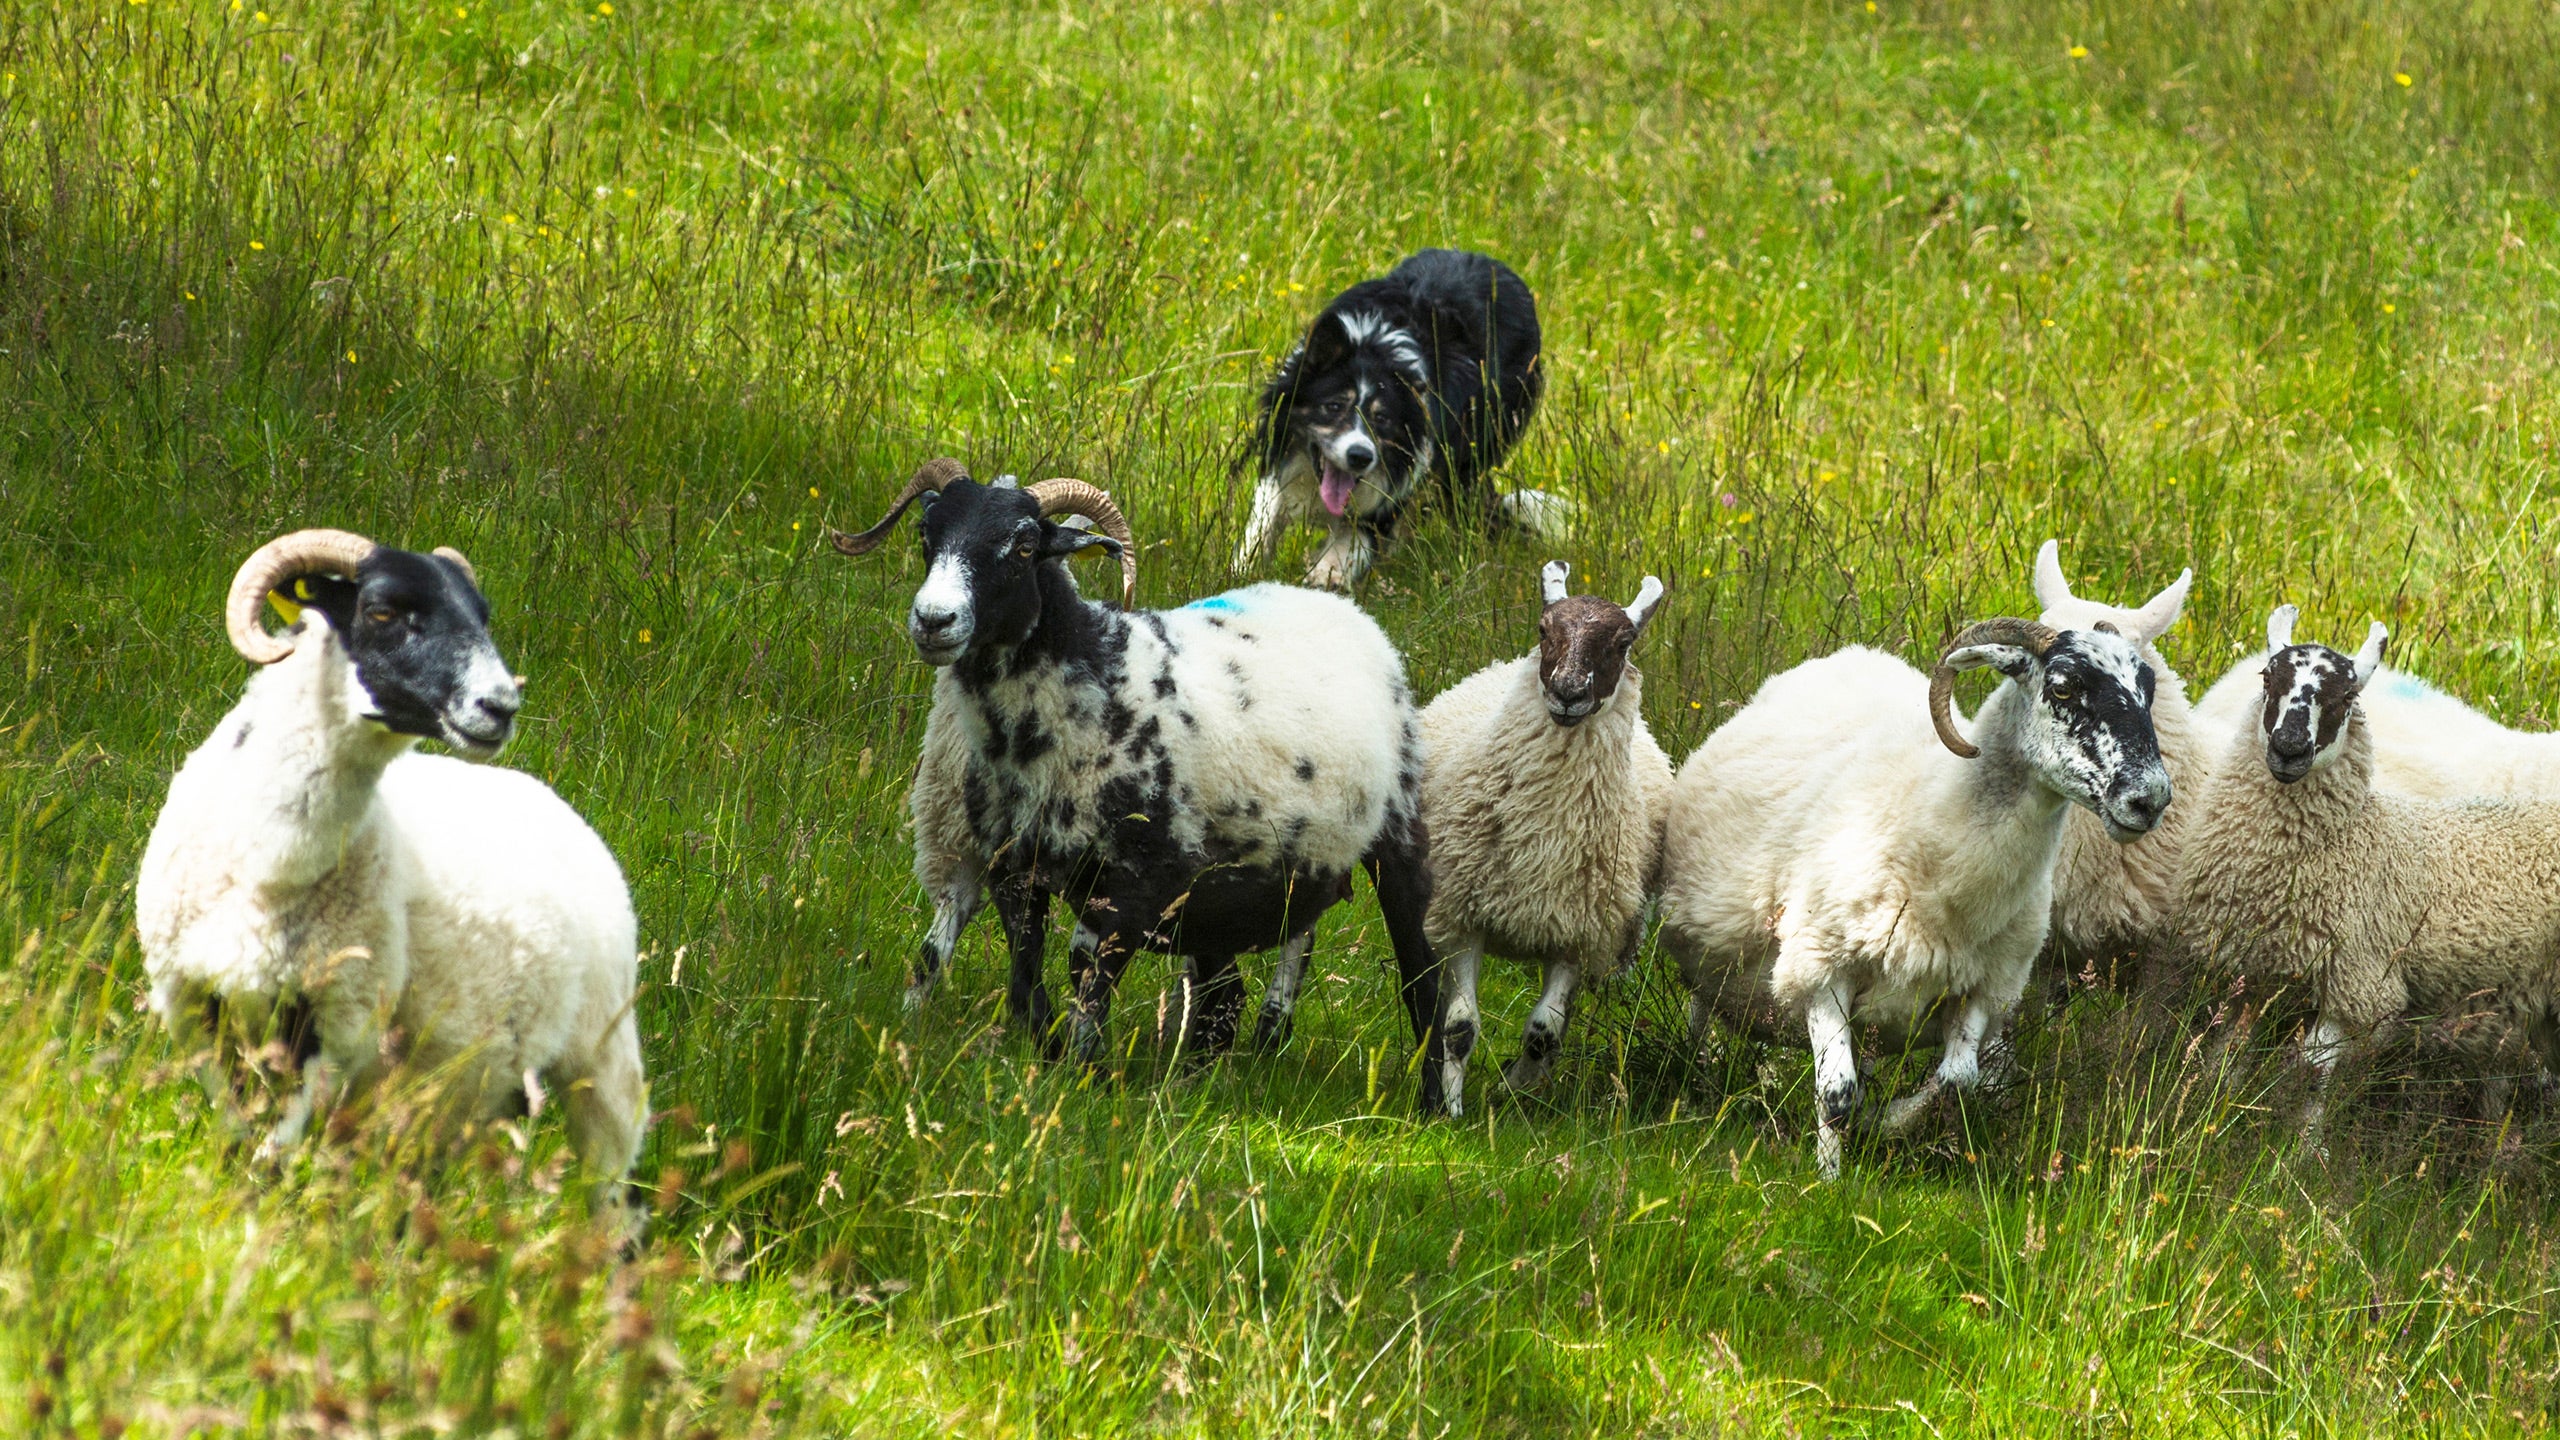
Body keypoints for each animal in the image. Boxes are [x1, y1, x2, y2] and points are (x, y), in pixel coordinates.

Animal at [137, 527, 650, 1209]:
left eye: (481, 615)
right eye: (381, 610)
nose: (500, 706)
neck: (269, 865)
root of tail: (556, 801)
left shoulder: (341, 1025)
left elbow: (272, 1158)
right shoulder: (191, 1005)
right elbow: (238, 1143)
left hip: (603, 1059)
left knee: (611, 1198)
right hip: (456, 1089)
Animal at [1239, 249, 1556, 586]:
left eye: (1382, 419)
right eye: (1334, 406)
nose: (1360, 457)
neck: (1376, 347)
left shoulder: (1396, 481)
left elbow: (1351, 545)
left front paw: (1324, 578)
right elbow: (1263, 522)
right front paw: (1244, 569)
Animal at [1423, 561, 1679, 1112]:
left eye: (1623, 642)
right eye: (1544, 630)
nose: (1568, 692)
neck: (1544, 837)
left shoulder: (1582, 934)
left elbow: (1544, 1032)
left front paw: (1514, 1089)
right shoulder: (1460, 916)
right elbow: (1460, 1026)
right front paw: (1450, 1109)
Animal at [1658, 609, 2181, 1173]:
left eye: (2148, 689)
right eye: (2063, 687)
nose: (2150, 799)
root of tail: (1847, 656)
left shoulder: (1982, 987)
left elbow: (1956, 1084)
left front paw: (1881, 1123)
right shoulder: (1821, 967)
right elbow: (1835, 1093)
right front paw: (1827, 1178)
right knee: (1703, 1012)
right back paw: (1701, 1080)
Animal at [2170, 604, 2560, 1132]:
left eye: (2348, 696)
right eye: (2269, 677)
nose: (2288, 747)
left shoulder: (2360, 981)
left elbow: (2313, 1070)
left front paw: (2301, 1147)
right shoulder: (2251, 967)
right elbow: (2228, 1047)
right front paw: (2207, 1115)